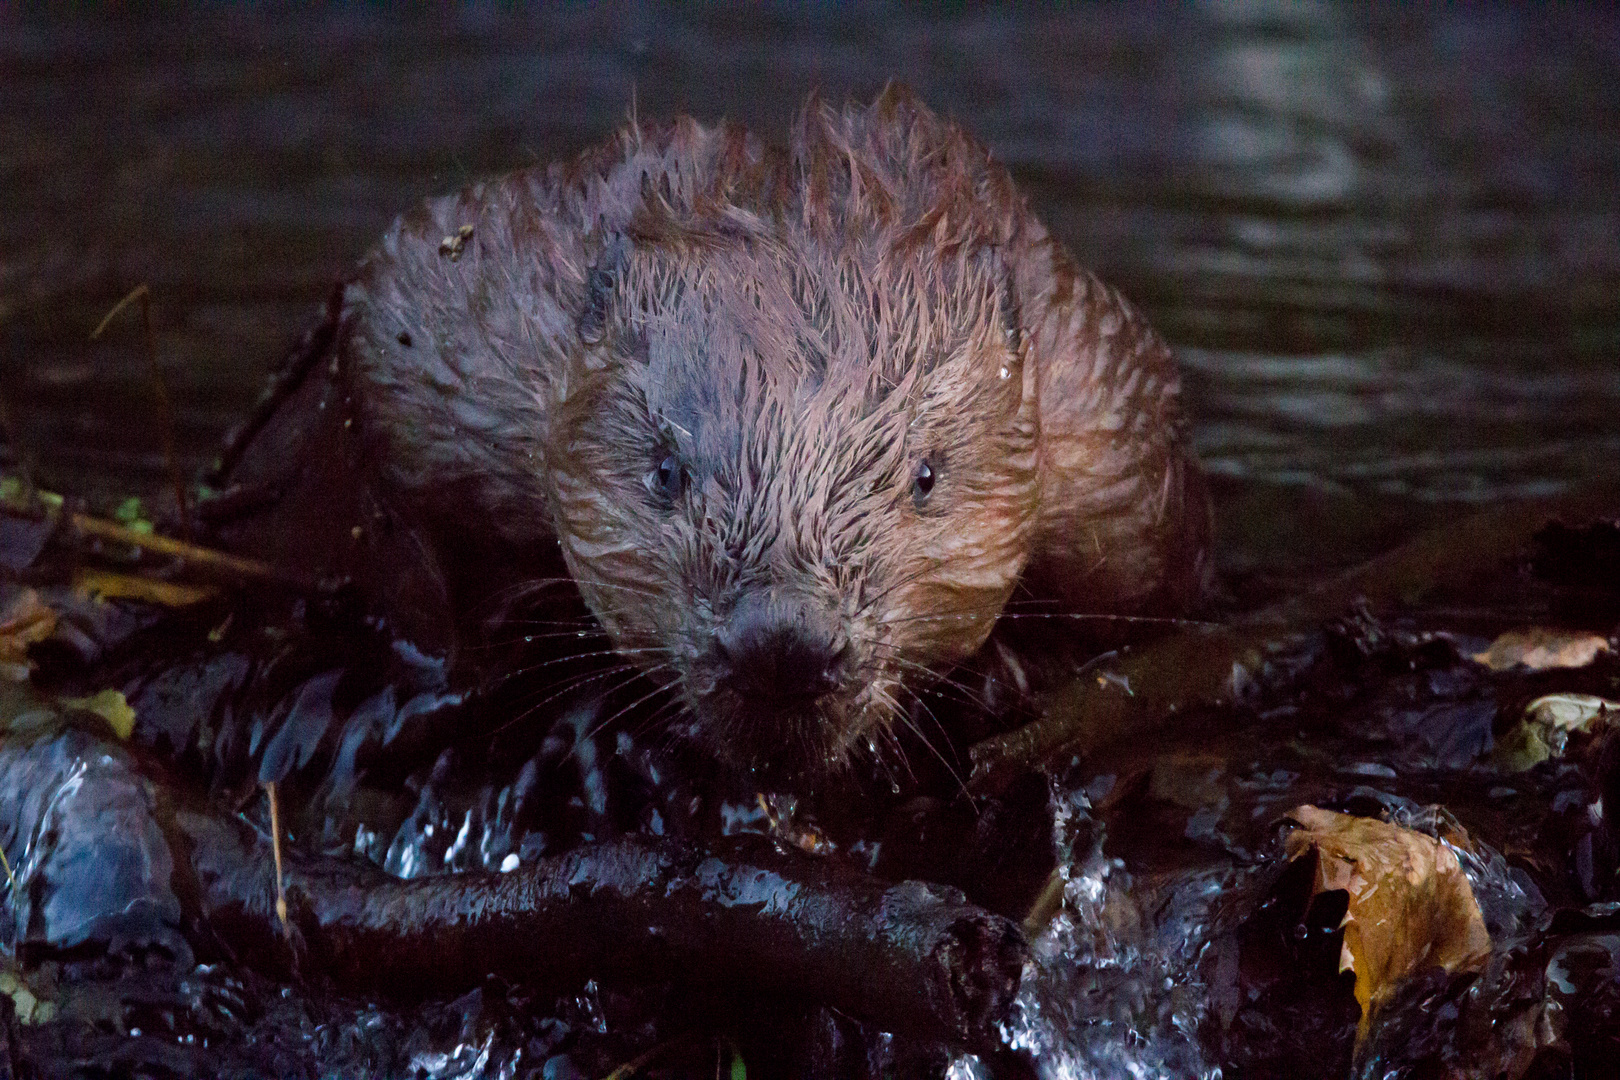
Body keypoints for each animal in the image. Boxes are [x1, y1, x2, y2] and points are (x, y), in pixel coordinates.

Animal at [208, 86, 1211, 777]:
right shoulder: (452, 320)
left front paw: (1011, 675)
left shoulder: (1108, 412)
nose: (785, 645)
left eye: (926, 477)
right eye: (665, 472)